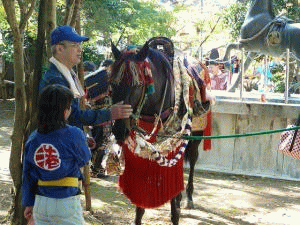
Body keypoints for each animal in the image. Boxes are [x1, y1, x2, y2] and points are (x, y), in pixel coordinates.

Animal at [110, 39, 206, 225]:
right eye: (112, 84)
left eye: (138, 85)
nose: (119, 129)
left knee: (192, 160)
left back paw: (189, 197)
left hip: (197, 135)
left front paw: (175, 212)